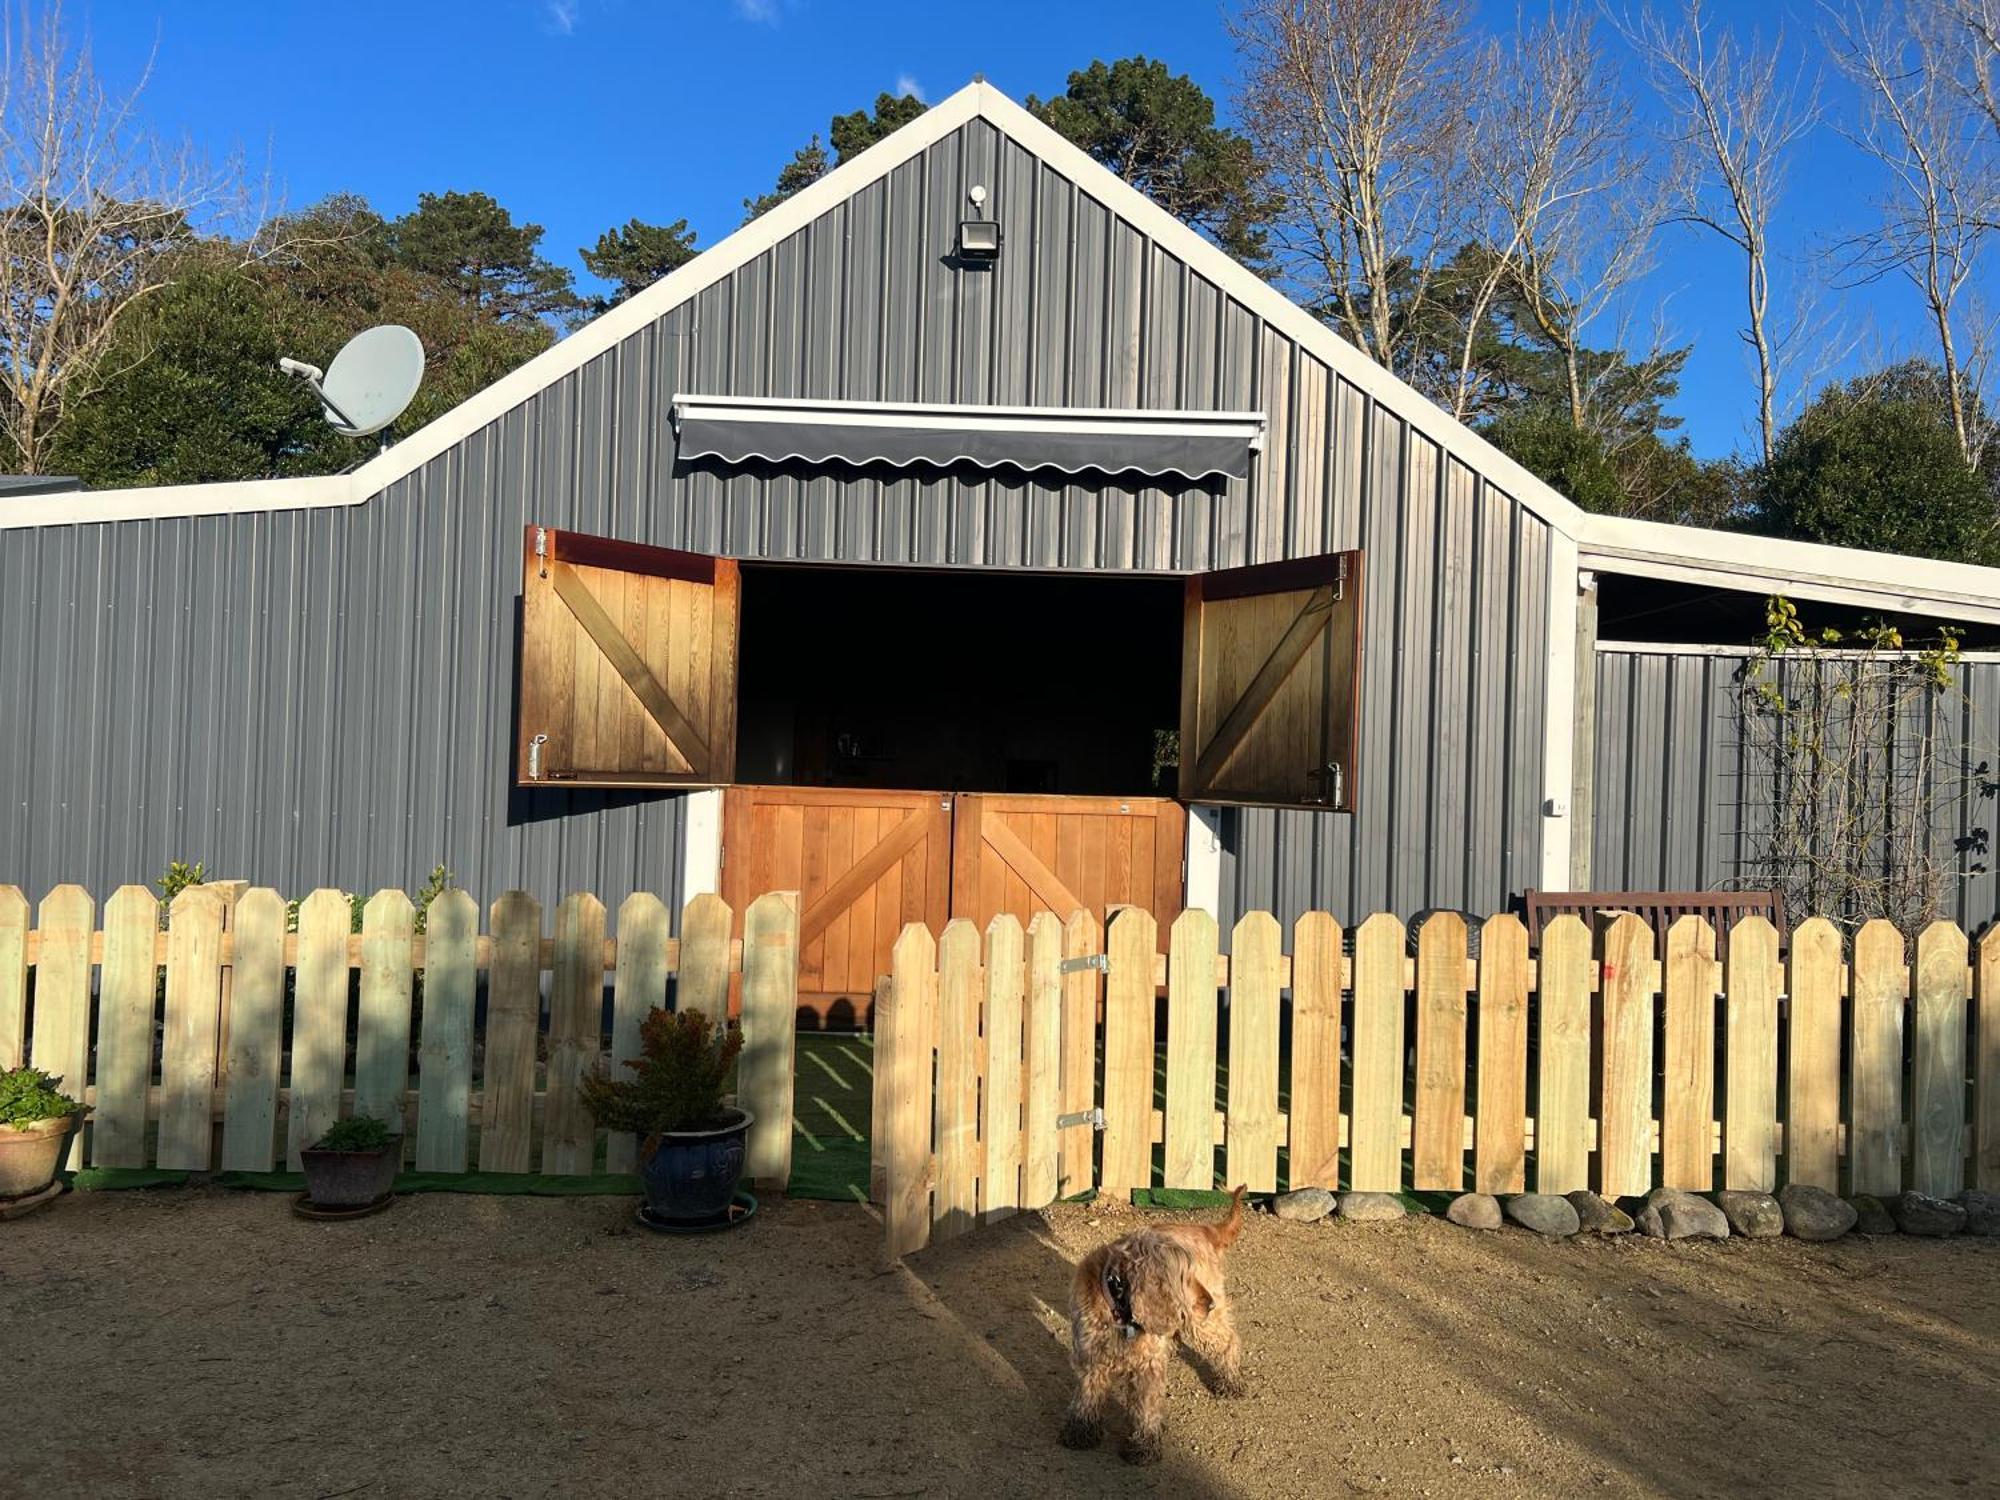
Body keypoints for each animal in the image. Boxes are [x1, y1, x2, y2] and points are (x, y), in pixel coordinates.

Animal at [1056, 1184, 1240, 1472]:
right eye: (1184, 1278)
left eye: (1192, 1273)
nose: (1208, 1302)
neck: (1120, 1314)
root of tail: (1206, 1229)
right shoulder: (1090, 1357)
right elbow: (1087, 1395)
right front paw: (1081, 1430)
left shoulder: (1148, 1366)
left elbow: (1145, 1408)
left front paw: (1143, 1446)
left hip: (1205, 1324)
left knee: (1229, 1339)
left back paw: (1230, 1380)